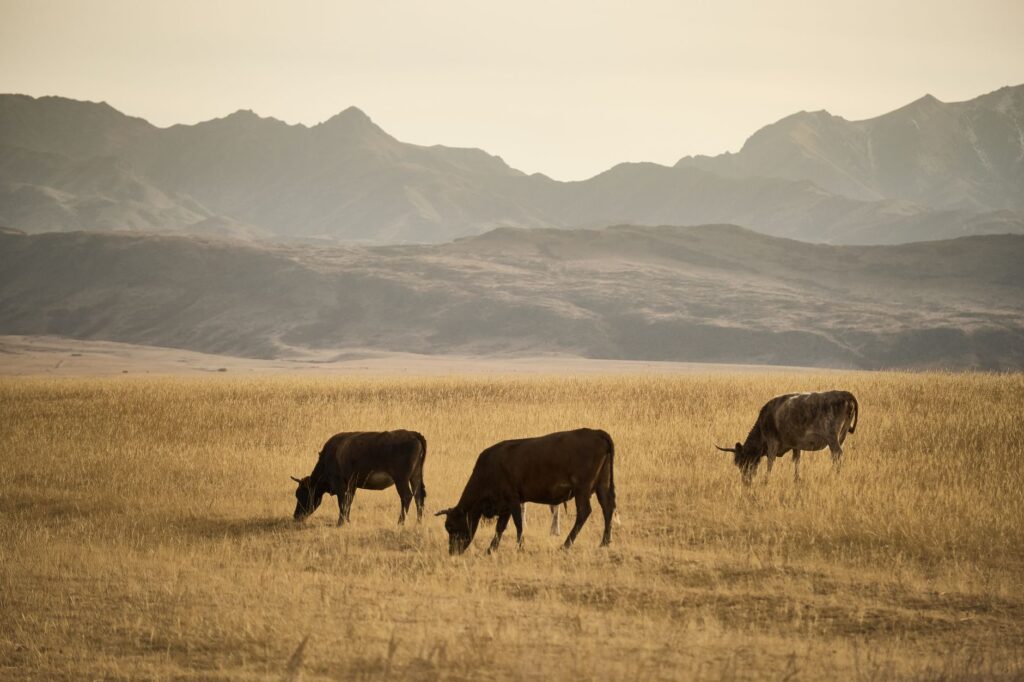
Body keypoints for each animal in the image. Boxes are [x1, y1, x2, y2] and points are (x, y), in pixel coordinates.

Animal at [291, 430, 427, 525]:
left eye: (301, 494)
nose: (296, 516)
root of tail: (412, 433)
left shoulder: (340, 484)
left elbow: (342, 502)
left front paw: (340, 522)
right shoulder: (352, 486)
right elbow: (348, 502)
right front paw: (347, 520)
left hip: (401, 479)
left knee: (407, 496)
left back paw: (400, 523)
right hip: (415, 476)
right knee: (418, 497)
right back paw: (418, 522)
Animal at [435, 428, 616, 554]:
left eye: (451, 527)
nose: (453, 552)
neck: (488, 469)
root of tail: (596, 432)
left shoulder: (513, 499)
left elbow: (517, 524)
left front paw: (519, 547)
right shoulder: (505, 505)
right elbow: (500, 527)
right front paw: (491, 549)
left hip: (582, 489)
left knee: (584, 512)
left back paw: (566, 545)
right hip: (602, 484)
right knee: (607, 508)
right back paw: (604, 542)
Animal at [716, 390, 858, 484]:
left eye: (742, 461)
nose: (746, 481)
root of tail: (845, 393)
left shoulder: (772, 442)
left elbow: (770, 461)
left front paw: (766, 479)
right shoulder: (796, 444)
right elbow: (796, 460)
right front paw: (797, 479)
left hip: (832, 436)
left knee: (837, 453)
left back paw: (835, 475)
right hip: (841, 436)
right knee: (836, 455)